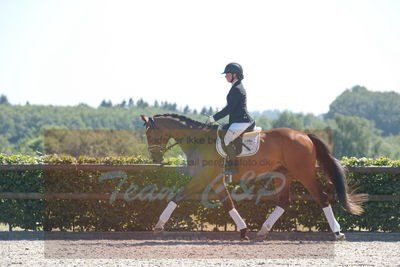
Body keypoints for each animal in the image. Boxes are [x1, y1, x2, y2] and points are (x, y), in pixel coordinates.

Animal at [141, 114, 368, 242]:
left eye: (150, 133)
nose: (155, 158)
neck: (200, 140)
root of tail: (305, 136)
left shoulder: (204, 177)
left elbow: (178, 196)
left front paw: (159, 225)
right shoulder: (216, 180)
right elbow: (228, 203)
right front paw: (243, 230)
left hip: (304, 173)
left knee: (322, 198)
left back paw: (337, 233)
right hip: (282, 174)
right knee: (284, 201)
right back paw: (263, 231)